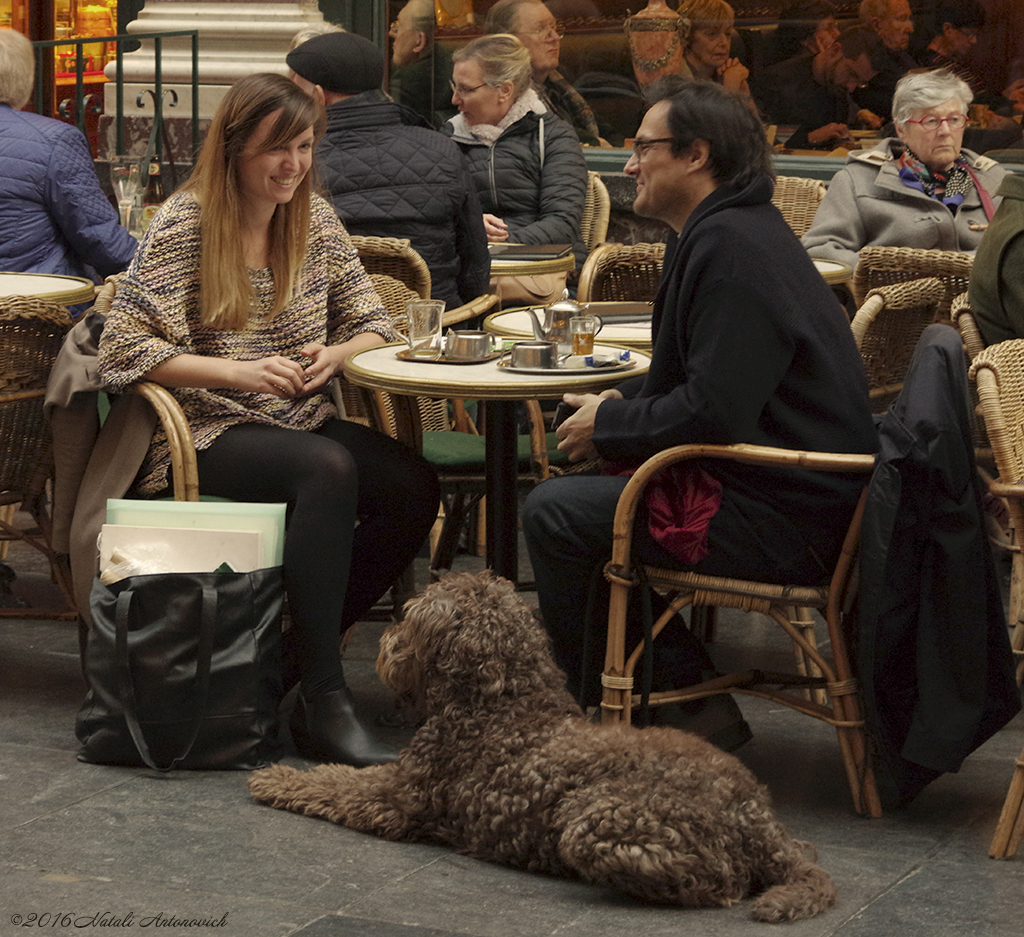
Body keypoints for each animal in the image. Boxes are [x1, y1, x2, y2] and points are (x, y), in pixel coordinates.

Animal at [249, 573, 839, 921]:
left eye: (415, 617)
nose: (389, 642)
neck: (503, 701)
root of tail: (757, 815)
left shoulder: (395, 799)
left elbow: (331, 784)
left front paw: (276, 776)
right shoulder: (398, 784)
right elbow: (337, 776)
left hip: (597, 818)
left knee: (720, 881)